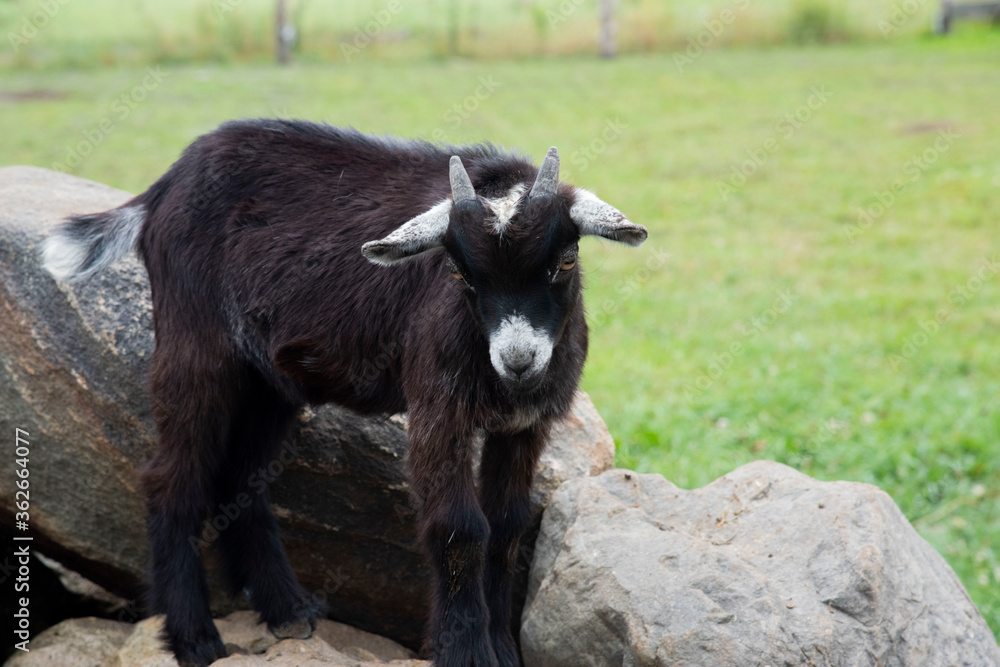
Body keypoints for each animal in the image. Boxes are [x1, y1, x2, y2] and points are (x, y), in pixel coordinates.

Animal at [41, 121, 648, 667]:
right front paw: (467, 653)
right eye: (459, 273)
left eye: (565, 261)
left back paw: (286, 609)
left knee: (240, 478)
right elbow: (460, 527)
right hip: (196, 349)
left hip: (269, 381)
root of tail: (166, 186)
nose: (519, 362)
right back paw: (194, 638)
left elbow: (507, 525)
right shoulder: (438, 409)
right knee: (173, 480)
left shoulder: (524, 424)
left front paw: (500, 649)